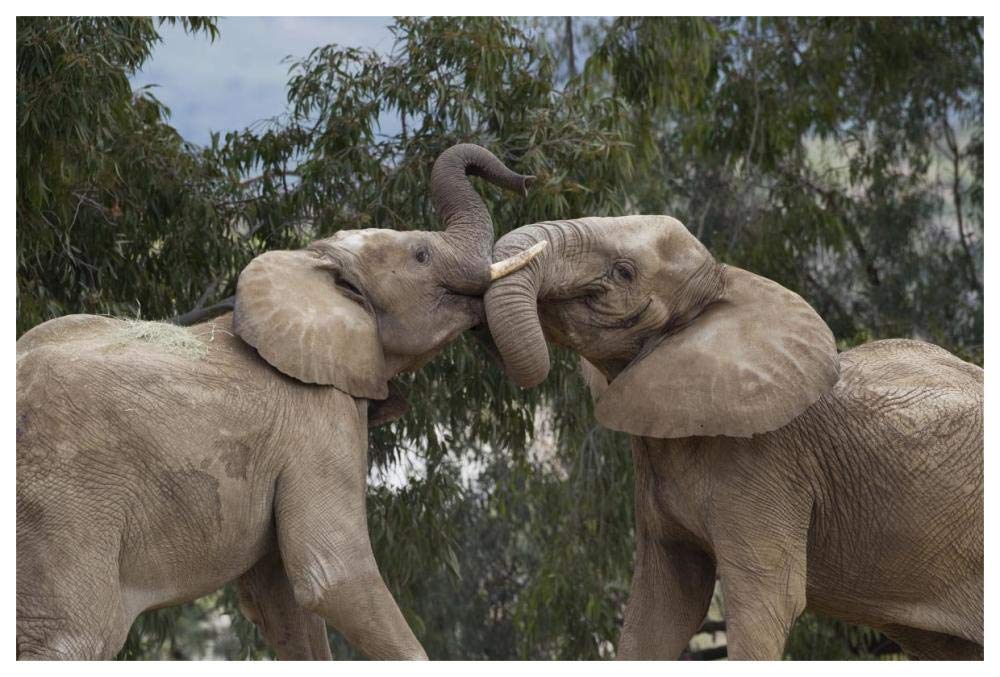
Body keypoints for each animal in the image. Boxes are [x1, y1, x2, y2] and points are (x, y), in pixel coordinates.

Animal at [16, 144, 543, 660]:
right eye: (421, 254)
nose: (526, 180)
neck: (312, 267)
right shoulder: (317, 421)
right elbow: (335, 575)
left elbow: (282, 601)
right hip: (65, 515)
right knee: (75, 637)